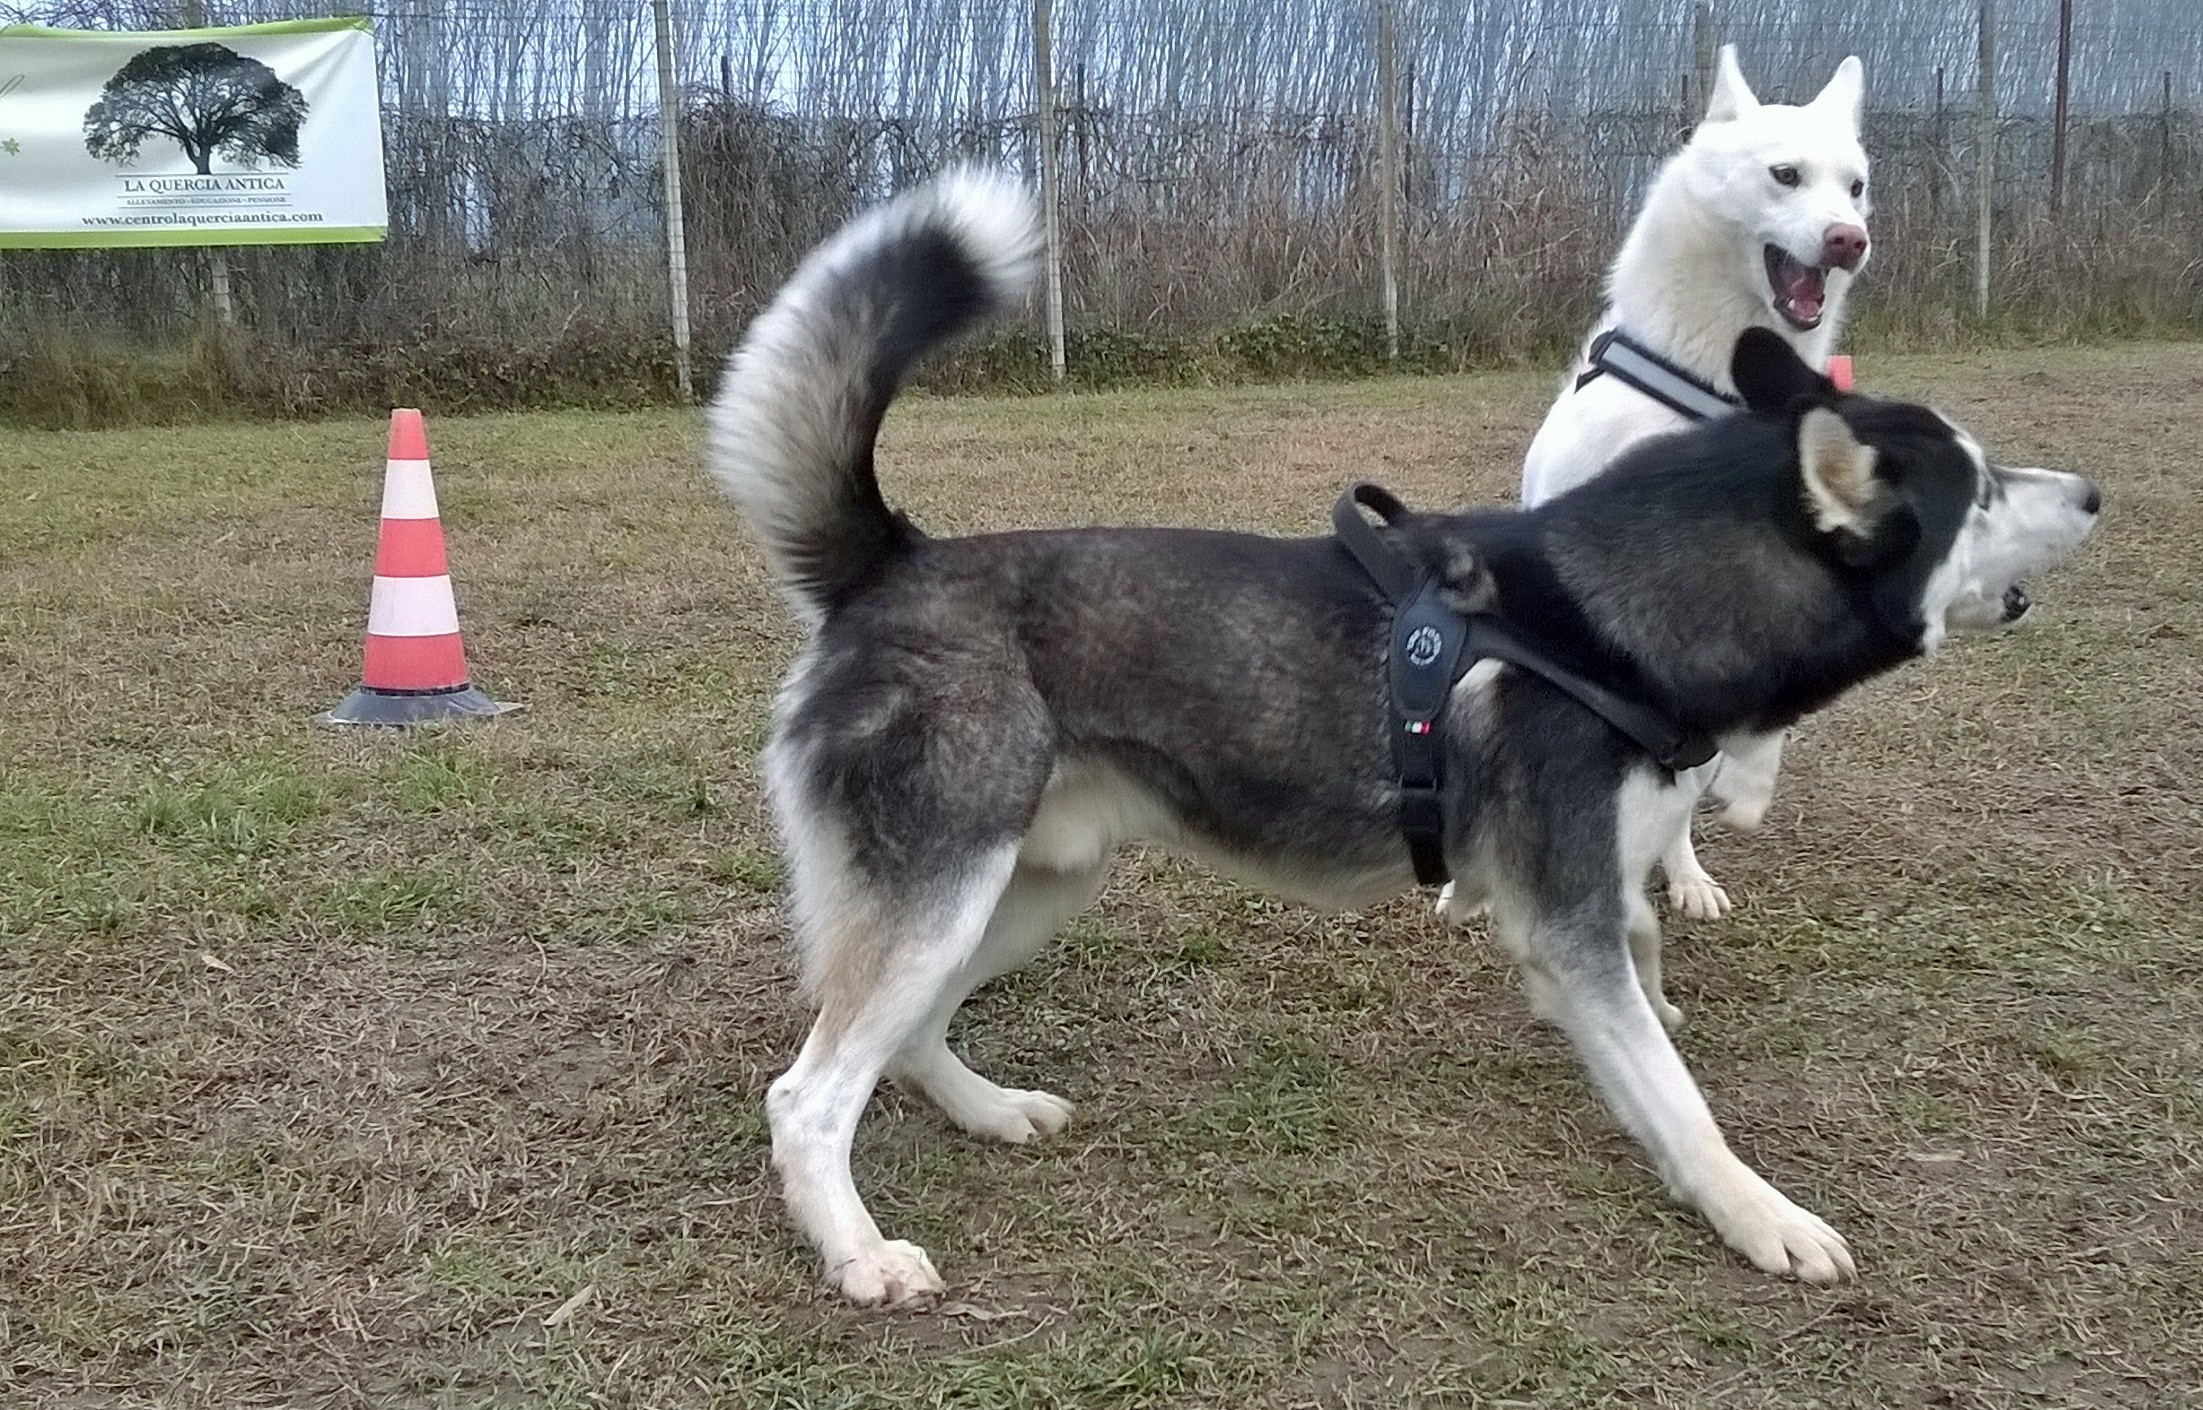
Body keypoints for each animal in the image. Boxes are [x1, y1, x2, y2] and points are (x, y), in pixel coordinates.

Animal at [709, 171, 2099, 1307]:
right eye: (1979, 491)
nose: (2092, 492)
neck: (1622, 612)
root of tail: (889, 563)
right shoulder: (1565, 919)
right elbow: (1681, 1101)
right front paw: (1762, 1218)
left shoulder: (1593, 890)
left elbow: (1649, 969)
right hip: (946, 891)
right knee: (808, 1094)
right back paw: (858, 1254)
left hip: (1025, 887)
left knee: (904, 1040)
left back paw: (990, 1112)